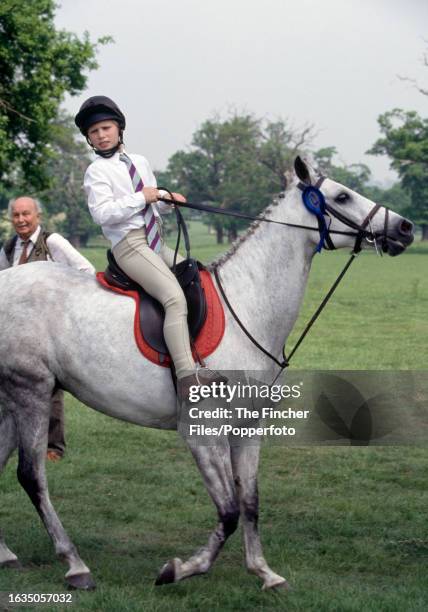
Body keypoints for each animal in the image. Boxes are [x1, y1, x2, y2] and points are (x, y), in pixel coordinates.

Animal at [0, 160, 414, 592]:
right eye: (342, 196)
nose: (405, 228)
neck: (246, 307)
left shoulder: (248, 428)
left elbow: (249, 502)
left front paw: (263, 571)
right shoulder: (203, 431)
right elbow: (228, 511)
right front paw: (180, 569)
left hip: (12, 399)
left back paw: (7, 554)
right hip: (31, 391)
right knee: (32, 475)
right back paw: (75, 564)